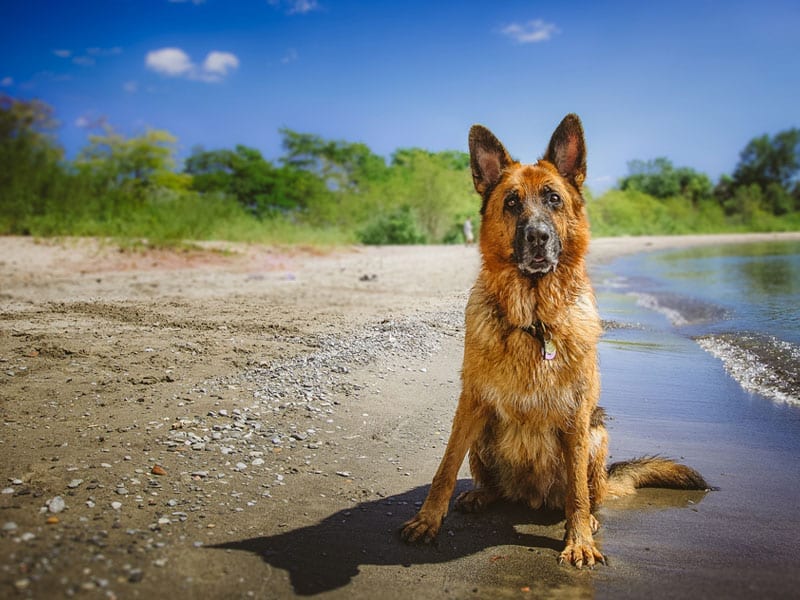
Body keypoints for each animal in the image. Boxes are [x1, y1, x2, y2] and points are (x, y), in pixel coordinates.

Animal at [400, 116, 708, 568]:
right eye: (512, 203)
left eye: (553, 199)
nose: (538, 236)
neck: (535, 321)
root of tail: (530, 498)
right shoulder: (470, 403)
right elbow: (444, 469)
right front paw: (427, 521)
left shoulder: (576, 417)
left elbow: (577, 492)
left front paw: (578, 540)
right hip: (484, 430)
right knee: (492, 485)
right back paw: (481, 495)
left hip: (596, 436)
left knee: (588, 493)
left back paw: (588, 520)